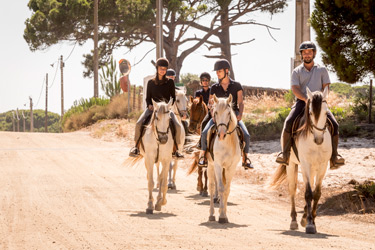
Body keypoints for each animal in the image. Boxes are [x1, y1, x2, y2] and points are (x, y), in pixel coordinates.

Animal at [207, 94, 242, 223]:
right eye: (215, 112)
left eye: (228, 113)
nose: (221, 135)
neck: (226, 143)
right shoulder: (217, 165)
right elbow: (221, 188)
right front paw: (221, 216)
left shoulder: (231, 167)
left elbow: (227, 190)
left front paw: (224, 214)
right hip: (210, 166)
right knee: (212, 187)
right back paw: (212, 214)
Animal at [270, 87, 332, 233]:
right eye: (310, 113)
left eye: (326, 113)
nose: (319, 139)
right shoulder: (305, 165)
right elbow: (308, 193)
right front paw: (309, 224)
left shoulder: (322, 166)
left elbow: (316, 193)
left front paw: (311, 219)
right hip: (292, 165)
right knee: (292, 189)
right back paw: (294, 221)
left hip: (314, 168)